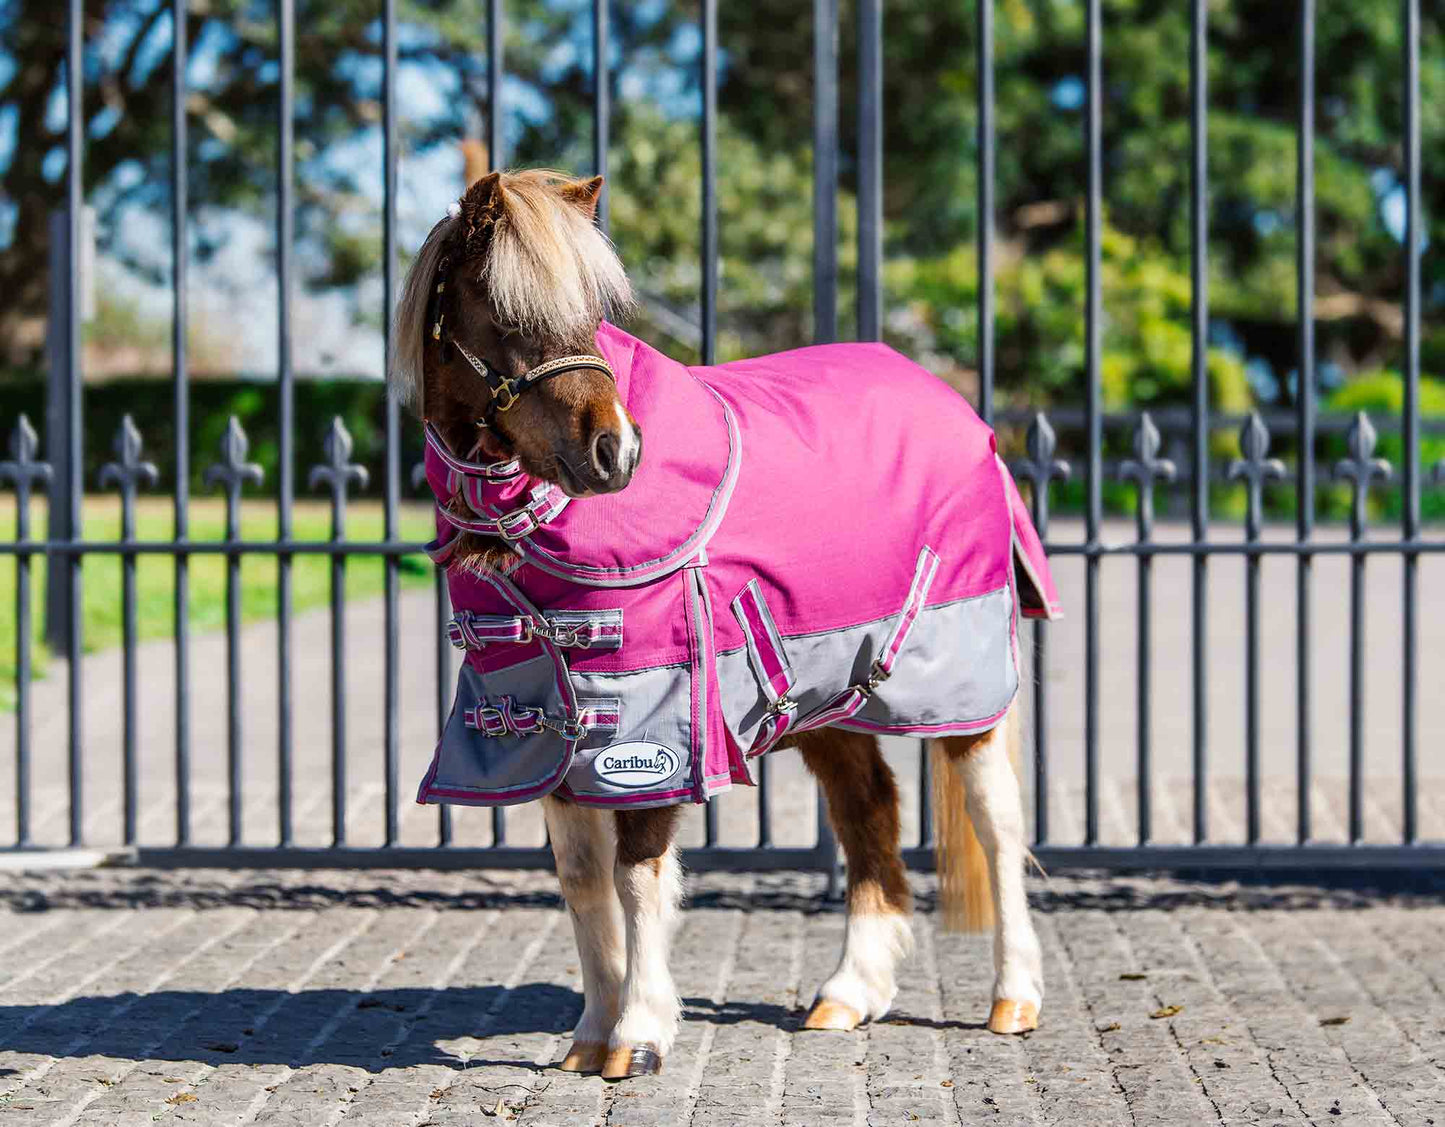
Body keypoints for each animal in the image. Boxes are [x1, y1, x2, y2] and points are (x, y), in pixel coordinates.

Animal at [391, 168, 1054, 1080]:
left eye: (592, 310)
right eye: (505, 309)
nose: (616, 453)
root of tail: (962, 414)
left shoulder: (653, 723)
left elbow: (636, 875)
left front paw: (636, 1035)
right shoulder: (548, 723)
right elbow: (581, 878)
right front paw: (590, 1033)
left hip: (961, 687)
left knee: (996, 823)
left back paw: (1012, 997)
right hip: (824, 691)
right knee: (869, 814)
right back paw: (848, 993)